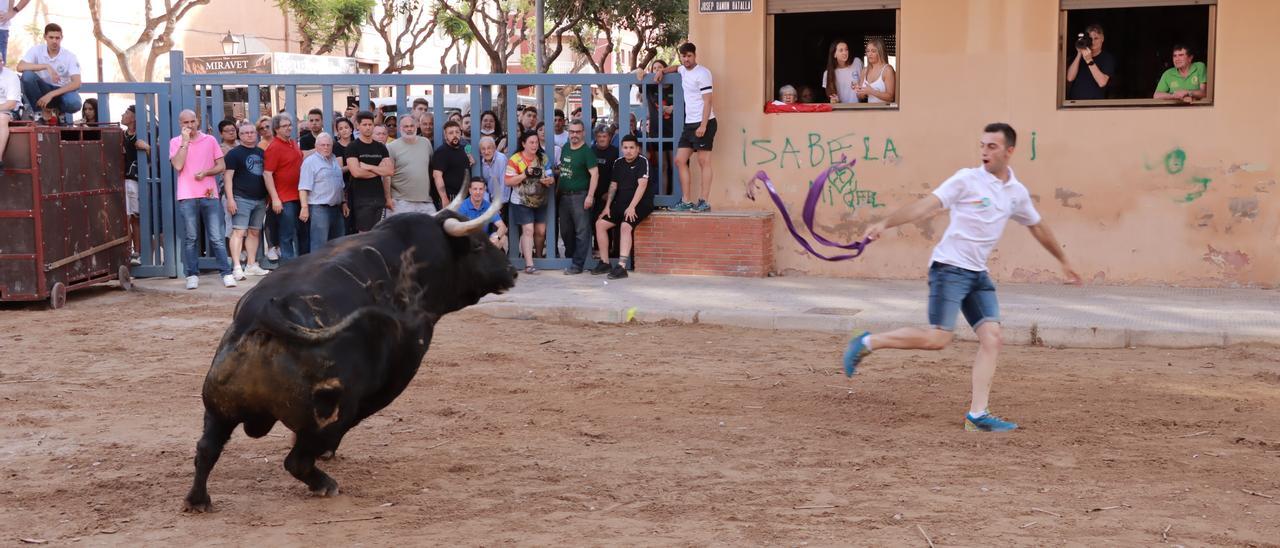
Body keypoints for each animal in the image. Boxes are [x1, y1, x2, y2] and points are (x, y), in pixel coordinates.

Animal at [185, 202, 514, 514]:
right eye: (478, 245)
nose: (511, 270)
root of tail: (266, 316)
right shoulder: (397, 373)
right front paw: (328, 453)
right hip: (333, 408)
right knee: (297, 460)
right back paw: (325, 483)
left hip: (218, 408)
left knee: (207, 448)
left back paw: (198, 499)